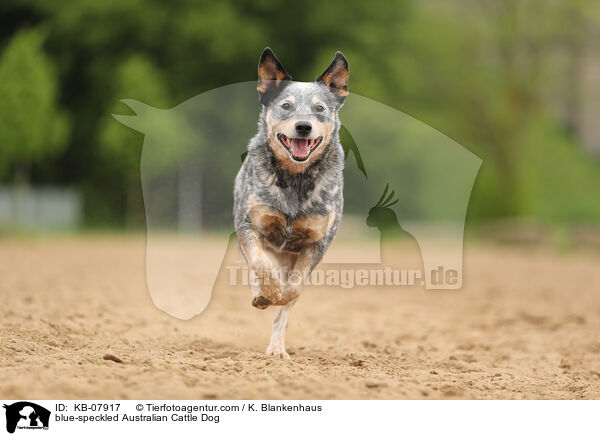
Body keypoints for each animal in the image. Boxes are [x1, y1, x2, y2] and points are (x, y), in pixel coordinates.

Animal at [233, 47, 350, 358]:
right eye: (286, 105)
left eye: (320, 109)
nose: (303, 126)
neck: (295, 179)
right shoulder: (248, 225)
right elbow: (260, 265)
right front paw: (269, 292)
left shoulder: (318, 242)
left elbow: (294, 290)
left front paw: (281, 295)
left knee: (284, 311)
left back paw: (277, 348)